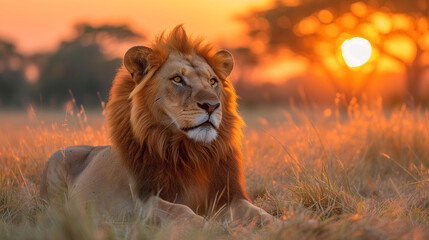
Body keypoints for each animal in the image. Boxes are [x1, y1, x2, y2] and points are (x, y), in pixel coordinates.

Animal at [40, 24, 274, 225]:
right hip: (57, 164)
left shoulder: (228, 195)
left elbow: (255, 210)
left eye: (213, 81)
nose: (212, 105)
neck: (190, 152)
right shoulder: (141, 201)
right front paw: (204, 225)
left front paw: (276, 223)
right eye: (178, 79)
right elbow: (178, 209)